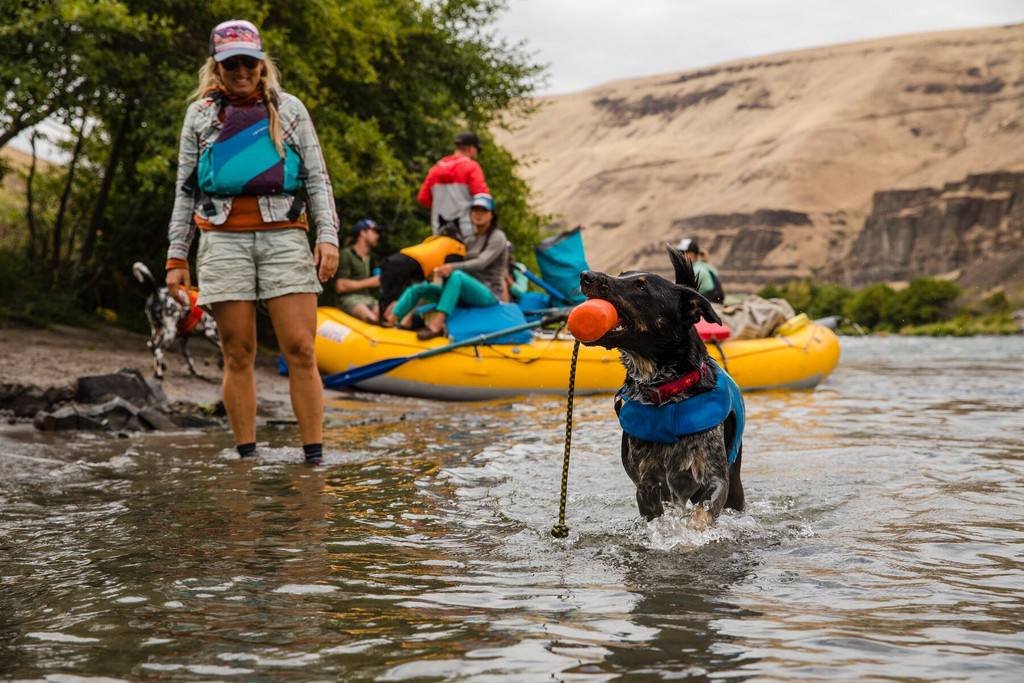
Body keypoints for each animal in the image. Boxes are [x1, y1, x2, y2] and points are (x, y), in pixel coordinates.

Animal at [577, 248, 745, 532]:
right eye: (621, 274)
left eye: (641, 286)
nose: (586, 275)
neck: (666, 392)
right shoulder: (647, 485)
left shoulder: (716, 478)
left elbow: (703, 512)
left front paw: (691, 534)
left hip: (736, 484)